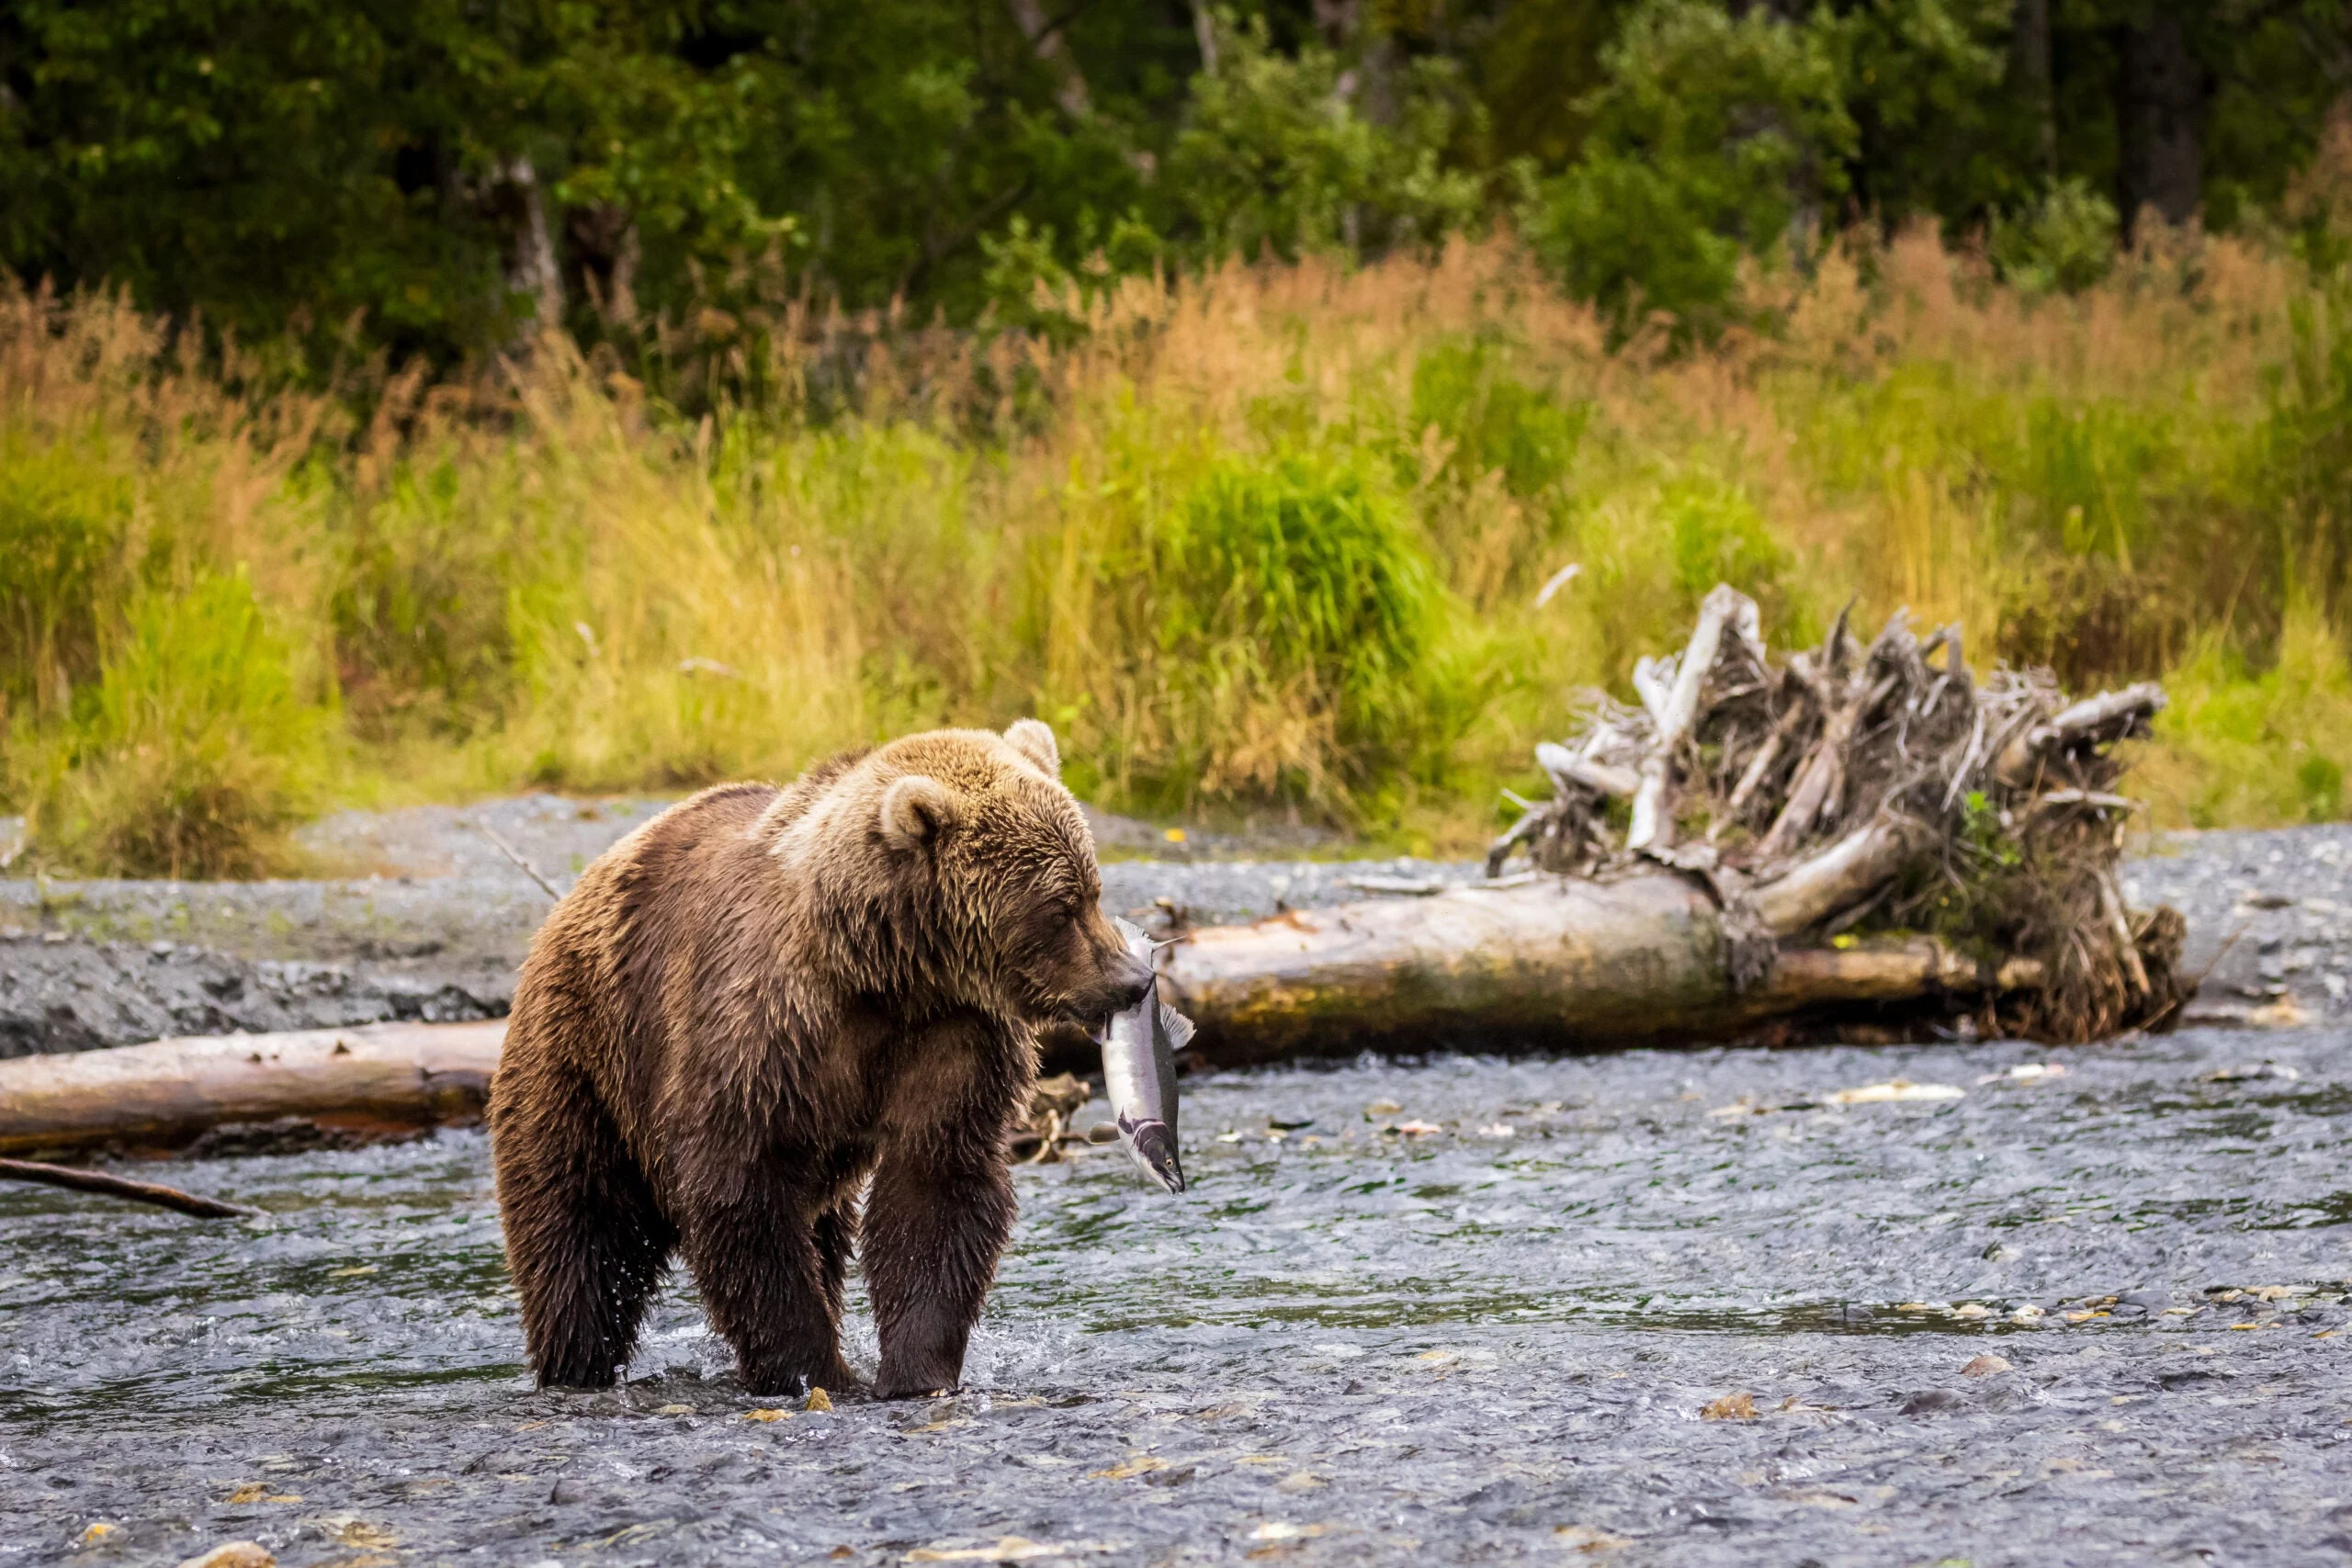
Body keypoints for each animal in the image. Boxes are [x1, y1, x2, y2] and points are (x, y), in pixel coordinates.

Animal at [489, 724, 1157, 1401]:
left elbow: (936, 1182)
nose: (1134, 979)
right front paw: (816, 1368)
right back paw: (575, 1365)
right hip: (587, 1056)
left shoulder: (954, 1031)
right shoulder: (759, 1032)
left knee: (822, 1236)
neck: (880, 970)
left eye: (1093, 888)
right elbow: (740, 1195)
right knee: (579, 1233)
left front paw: (916, 1369)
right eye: (1061, 905)